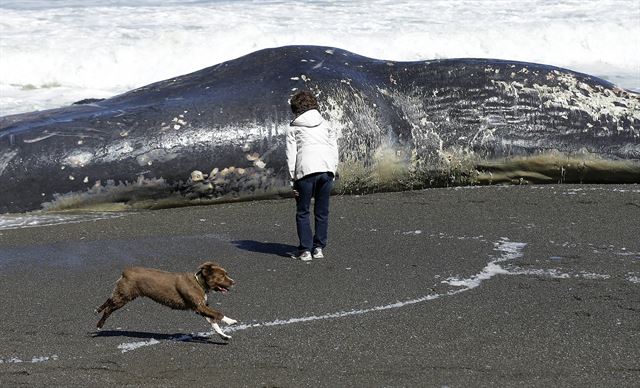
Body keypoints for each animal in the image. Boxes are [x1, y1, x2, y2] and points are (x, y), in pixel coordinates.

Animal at [94, 260, 236, 340]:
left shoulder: (202, 308)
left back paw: (97, 310)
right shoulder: (199, 307)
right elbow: (218, 314)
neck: (199, 282)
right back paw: (99, 325)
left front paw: (224, 336)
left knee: (109, 300)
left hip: (123, 294)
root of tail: (126, 272)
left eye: (226, 274)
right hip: (125, 296)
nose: (234, 282)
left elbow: (213, 322)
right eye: (222, 276)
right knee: (109, 309)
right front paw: (231, 321)